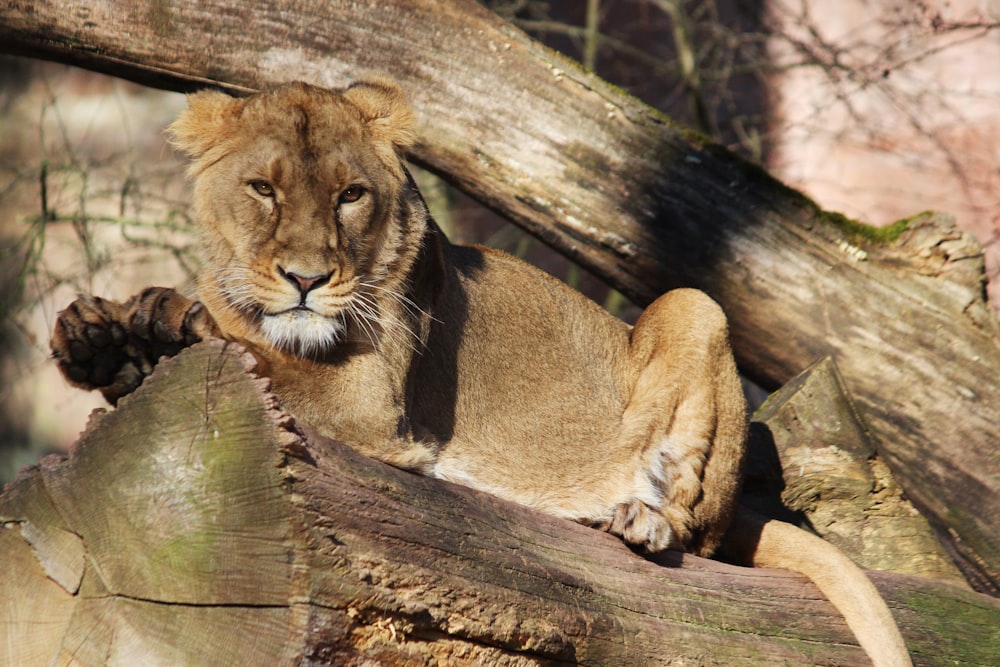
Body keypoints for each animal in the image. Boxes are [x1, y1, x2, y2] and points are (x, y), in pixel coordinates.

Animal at [52, 77, 916, 664]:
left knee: (698, 536)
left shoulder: (374, 408)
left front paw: (177, 320)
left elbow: (258, 351)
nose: (305, 278)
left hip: (693, 305)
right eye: (262, 188)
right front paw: (103, 335)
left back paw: (642, 518)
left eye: (350, 196)